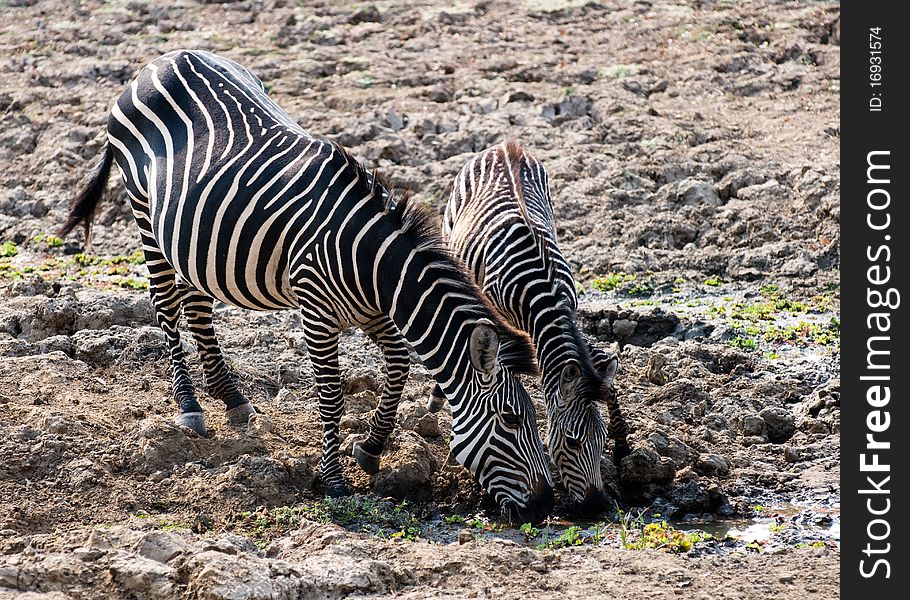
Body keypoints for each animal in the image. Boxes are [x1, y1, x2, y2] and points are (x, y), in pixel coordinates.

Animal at [60, 49, 556, 524]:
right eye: (512, 420)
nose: (545, 505)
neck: (374, 265)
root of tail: (161, 60)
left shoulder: (374, 312)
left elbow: (398, 368)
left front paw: (371, 449)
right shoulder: (317, 313)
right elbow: (332, 397)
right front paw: (332, 481)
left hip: (194, 240)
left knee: (198, 306)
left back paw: (232, 397)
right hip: (145, 214)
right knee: (165, 305)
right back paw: (190, 405)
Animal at [432, 141, 632, 516]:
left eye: (602, 440)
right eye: (572, 441)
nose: (596, 506)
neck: (544, 294)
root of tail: (505, 147)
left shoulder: (571, 315)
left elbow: (602, 375)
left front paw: (625, 443)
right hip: (451, 233)